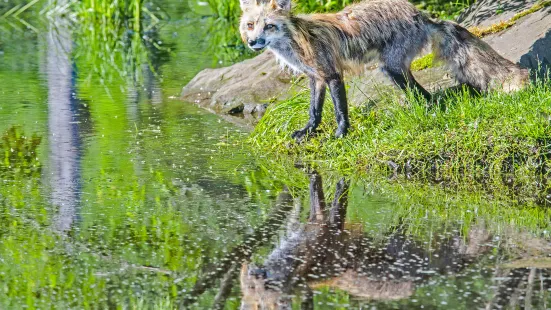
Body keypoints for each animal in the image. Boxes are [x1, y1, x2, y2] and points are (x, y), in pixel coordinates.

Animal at [240, 0, 532, 141]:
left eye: (269, 26)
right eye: (250, 25)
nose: (253, 42)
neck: (297, 41)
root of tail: (421, 14)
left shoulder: (332, 74)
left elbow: (340, 110)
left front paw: (341, 135)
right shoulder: (316, 77)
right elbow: (315, 111)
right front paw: (307, 132)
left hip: (391, 69)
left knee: (424, 95)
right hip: (395, 70)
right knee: (424, 95)